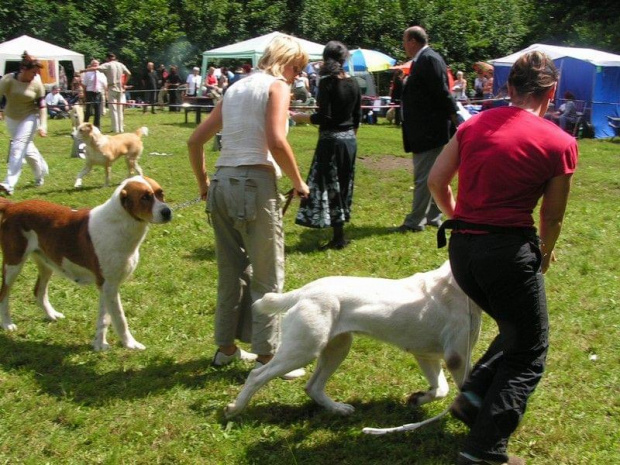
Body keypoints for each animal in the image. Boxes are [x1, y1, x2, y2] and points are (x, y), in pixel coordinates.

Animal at [0, 176, 172, 350]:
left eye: (161, 193)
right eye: (145, 197)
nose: (167, 212)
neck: (121, 224)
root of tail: (13, 206)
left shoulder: (106, 286)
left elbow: (104, 318)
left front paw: (99, 345)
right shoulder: (109, 285)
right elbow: (119, 318)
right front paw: (130, 344)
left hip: (46, 263)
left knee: (39, 291)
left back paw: (52, 314)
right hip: (13, 263)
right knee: (4, 294)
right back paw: (7, 324)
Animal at [225, 260, 482, 416]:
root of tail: (302, 292)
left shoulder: (427, 355)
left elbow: (441, 389)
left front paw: (417, 399)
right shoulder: (457, 357)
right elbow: (462, 391)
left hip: (337, 348)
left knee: (312, 387)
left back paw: (338, 409)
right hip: (302, 350)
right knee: (257, 375)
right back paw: (234, 409)